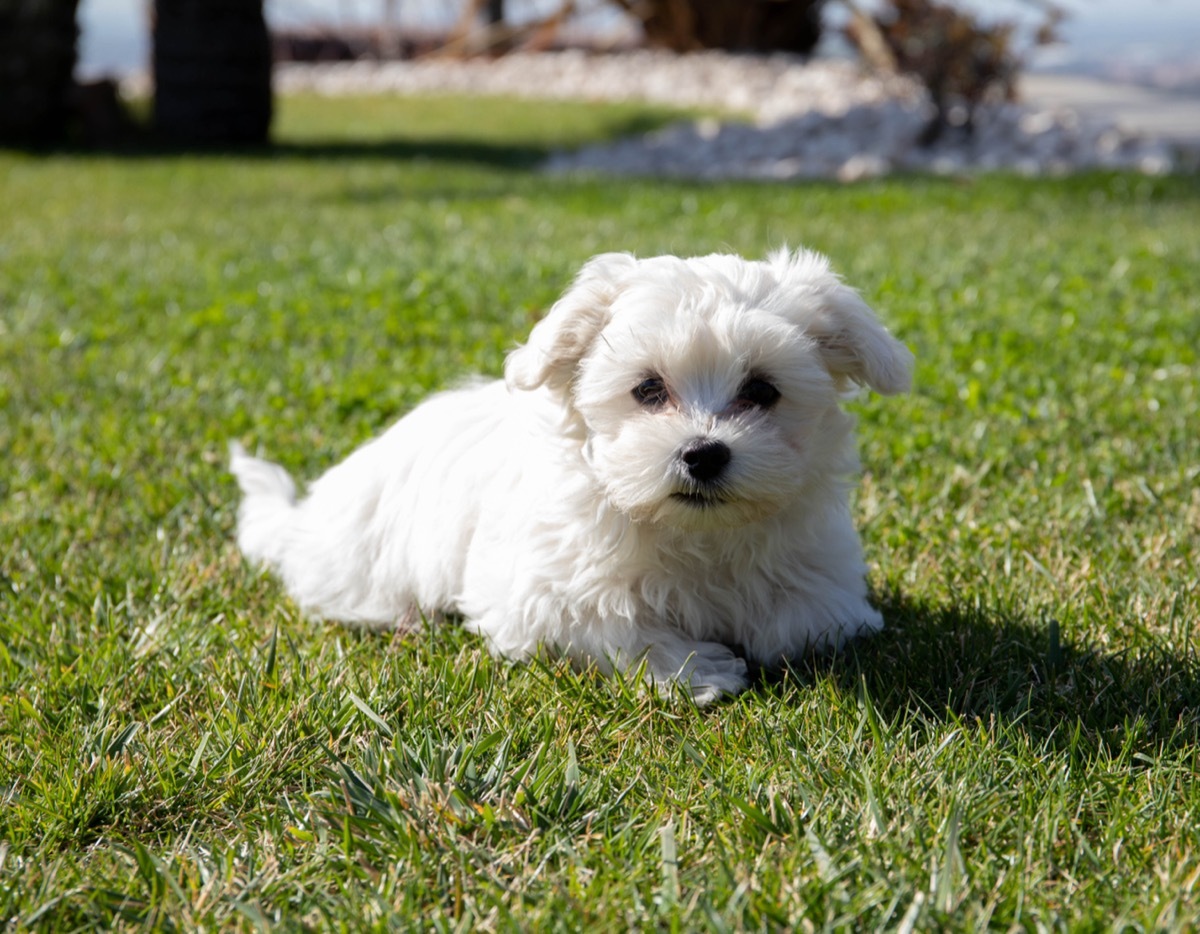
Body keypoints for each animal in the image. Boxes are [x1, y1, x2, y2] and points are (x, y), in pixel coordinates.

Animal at [231, 247, 907, 701]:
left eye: (763, 391)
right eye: (648, 389)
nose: (703, 454)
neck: (692, 534)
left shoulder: (822, 573)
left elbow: (810, 620)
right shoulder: (537, 595)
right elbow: (613, 622)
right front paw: (701, 668)